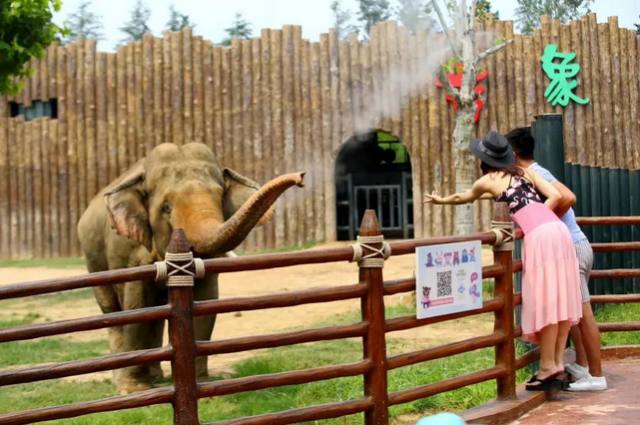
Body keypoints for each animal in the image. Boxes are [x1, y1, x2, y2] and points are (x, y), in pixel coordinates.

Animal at [76, 142, 304, 394]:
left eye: (220, 196)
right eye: (166, 207)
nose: (301, 177)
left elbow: (205, 300)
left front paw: (202, 386)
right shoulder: (127, 250)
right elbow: (136, 305)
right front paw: (134, 390)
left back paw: (156, 377)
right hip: (94, 261)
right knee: (112, 312)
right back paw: (123, 380)